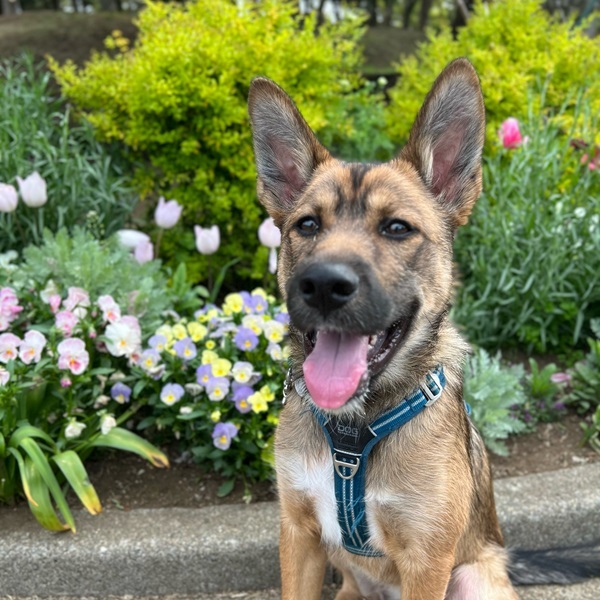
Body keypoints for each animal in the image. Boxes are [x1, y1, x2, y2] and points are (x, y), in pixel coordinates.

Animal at [248, 59, 599, 600]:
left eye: (397, 228)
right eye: (307, 225)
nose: (323, 285)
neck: (354, 432)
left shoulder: (426, 557)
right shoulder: (299, 533)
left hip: (473, 576)